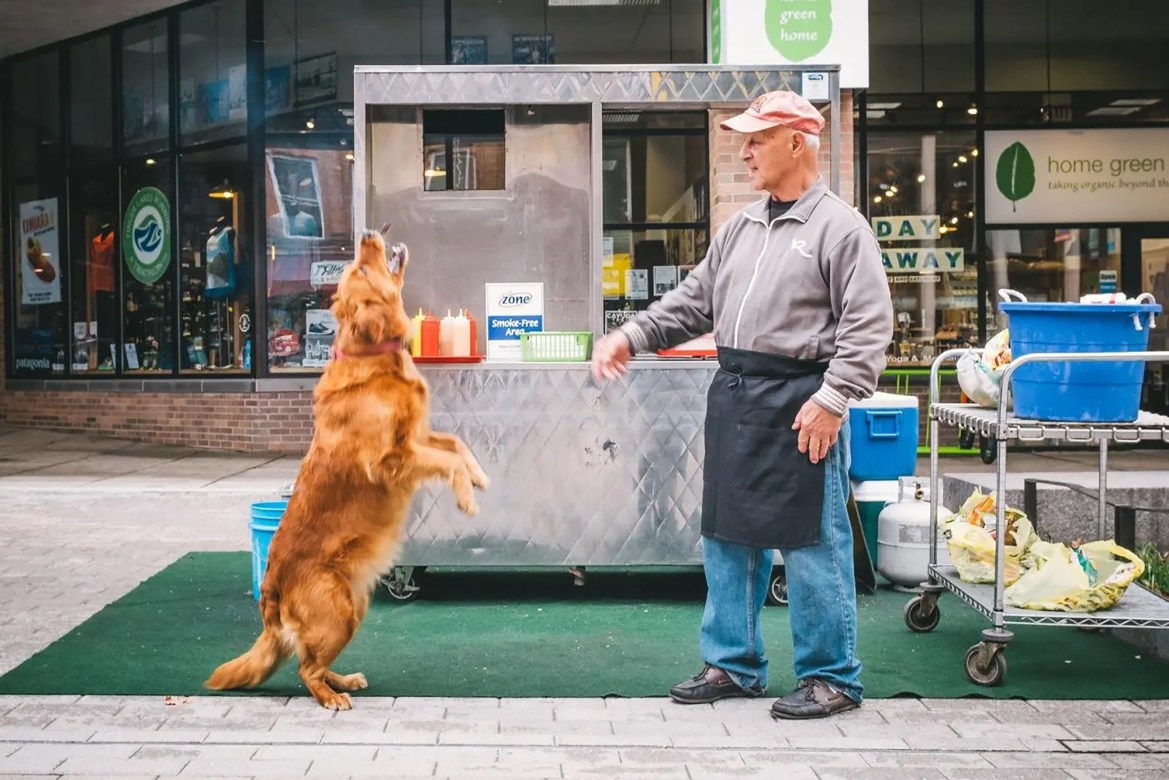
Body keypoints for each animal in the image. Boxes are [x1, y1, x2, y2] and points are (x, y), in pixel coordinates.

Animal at [205, 229, 488, 711]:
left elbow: (456, 444)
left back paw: (345, 679)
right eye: (361, 268)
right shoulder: (392, 459)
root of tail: (270, 600)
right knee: (306, 669)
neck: (372, 352)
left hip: (354, 609)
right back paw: (332, 696)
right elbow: (448, 457)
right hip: (336, 610)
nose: (368, 233)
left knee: (312, 661)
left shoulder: (418, 437)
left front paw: (478, 477)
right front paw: (467, 498)